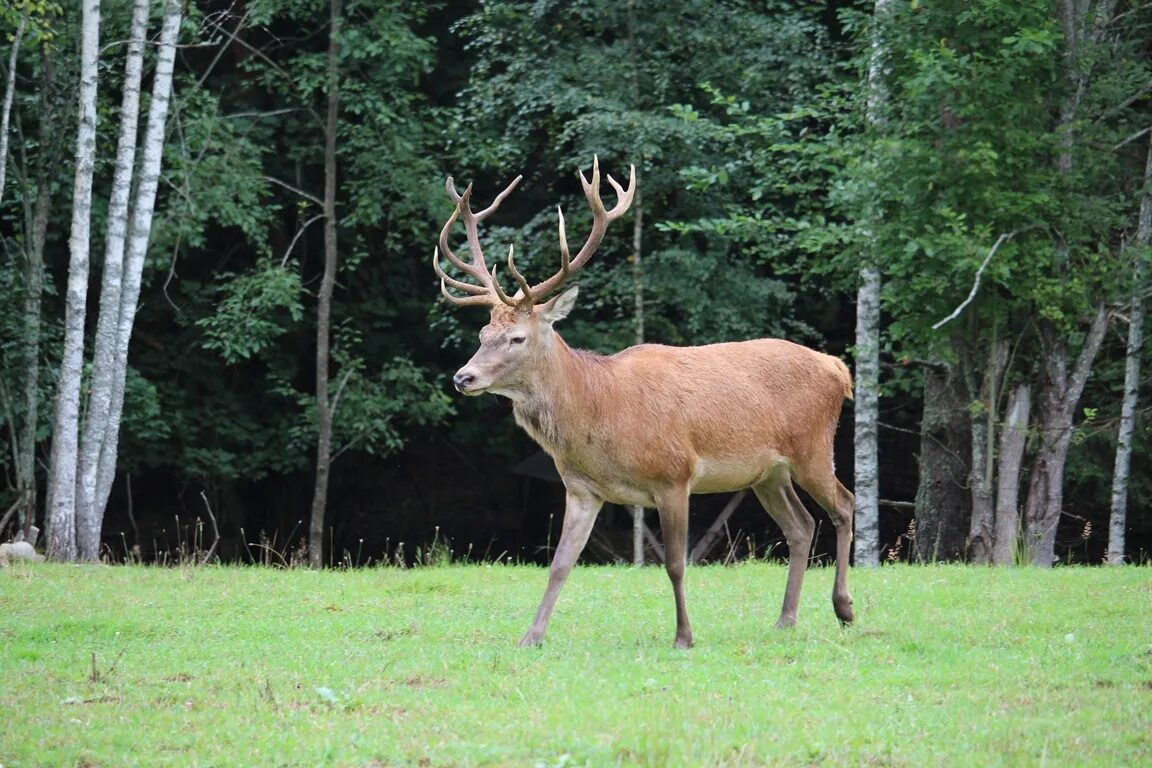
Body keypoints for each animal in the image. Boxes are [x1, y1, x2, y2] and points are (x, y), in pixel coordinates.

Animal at [433, 157, 857, 649]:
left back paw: (844, 609)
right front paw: (531, 637)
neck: (601, 413)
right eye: (483, 334)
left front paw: (684, 637)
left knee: (844, 505)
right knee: (801, 525)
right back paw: (785, 619)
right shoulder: (581, 488)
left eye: (516, 338)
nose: (463, 377)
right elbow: (560, 564)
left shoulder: (675, 475)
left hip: (813, 447)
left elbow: (674, 563)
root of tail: (838, 369)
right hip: (768, 472)